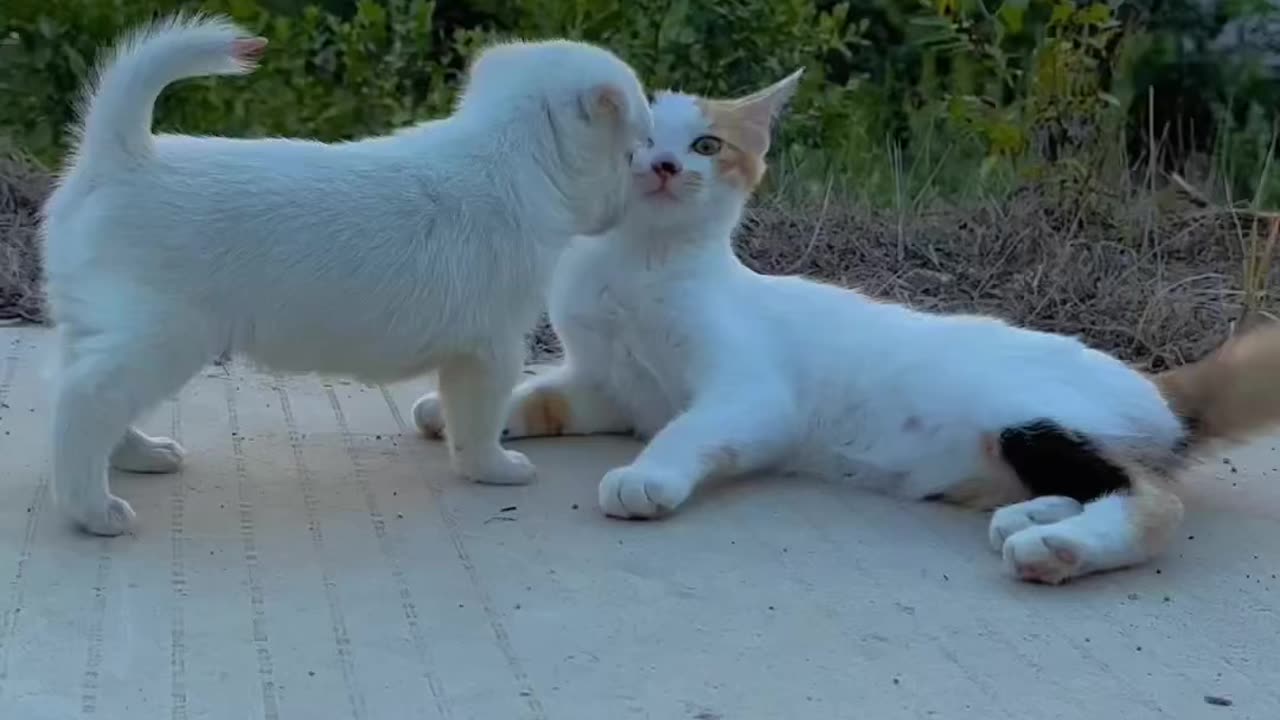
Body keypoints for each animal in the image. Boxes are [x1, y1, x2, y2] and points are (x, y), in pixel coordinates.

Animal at [42, 14, 650, 535]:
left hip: (96, 325)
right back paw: (93, 509)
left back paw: (139, 455)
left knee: (87, 393)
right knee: (85, 401)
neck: (516, 154)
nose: (648, 175)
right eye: (634, 151)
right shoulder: (491, 351)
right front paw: (494, 469)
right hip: (163, 337)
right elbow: (477, 421)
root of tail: (121, 157)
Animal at [412, 68, 1280, 584]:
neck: (638, 265)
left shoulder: (751, 396)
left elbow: (692, 429)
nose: (662, 167)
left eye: (705, 145)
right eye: (641, 140)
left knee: (1153, 499)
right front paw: (455, 413)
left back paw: (1056, 548)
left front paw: (646, 476)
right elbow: (538, 395)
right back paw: (1031, 518)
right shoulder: (607, 390)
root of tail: (1155, 382)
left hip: (1032, 420)